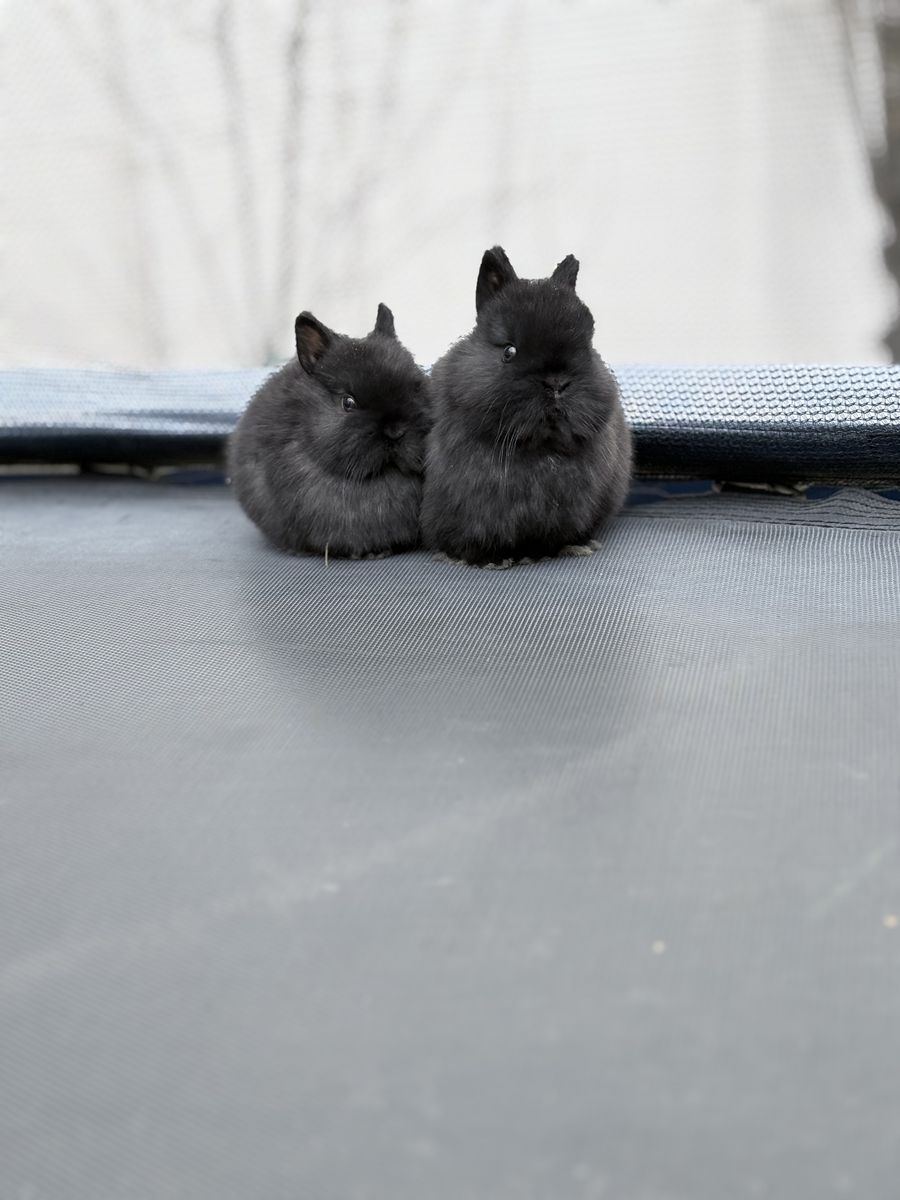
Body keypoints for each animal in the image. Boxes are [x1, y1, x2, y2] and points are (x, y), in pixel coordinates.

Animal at [421, 247, 632, 566]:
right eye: (509, 351)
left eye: (587, 348)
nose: (556, 383)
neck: (537, 449)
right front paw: (490, 560)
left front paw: (570, 547)